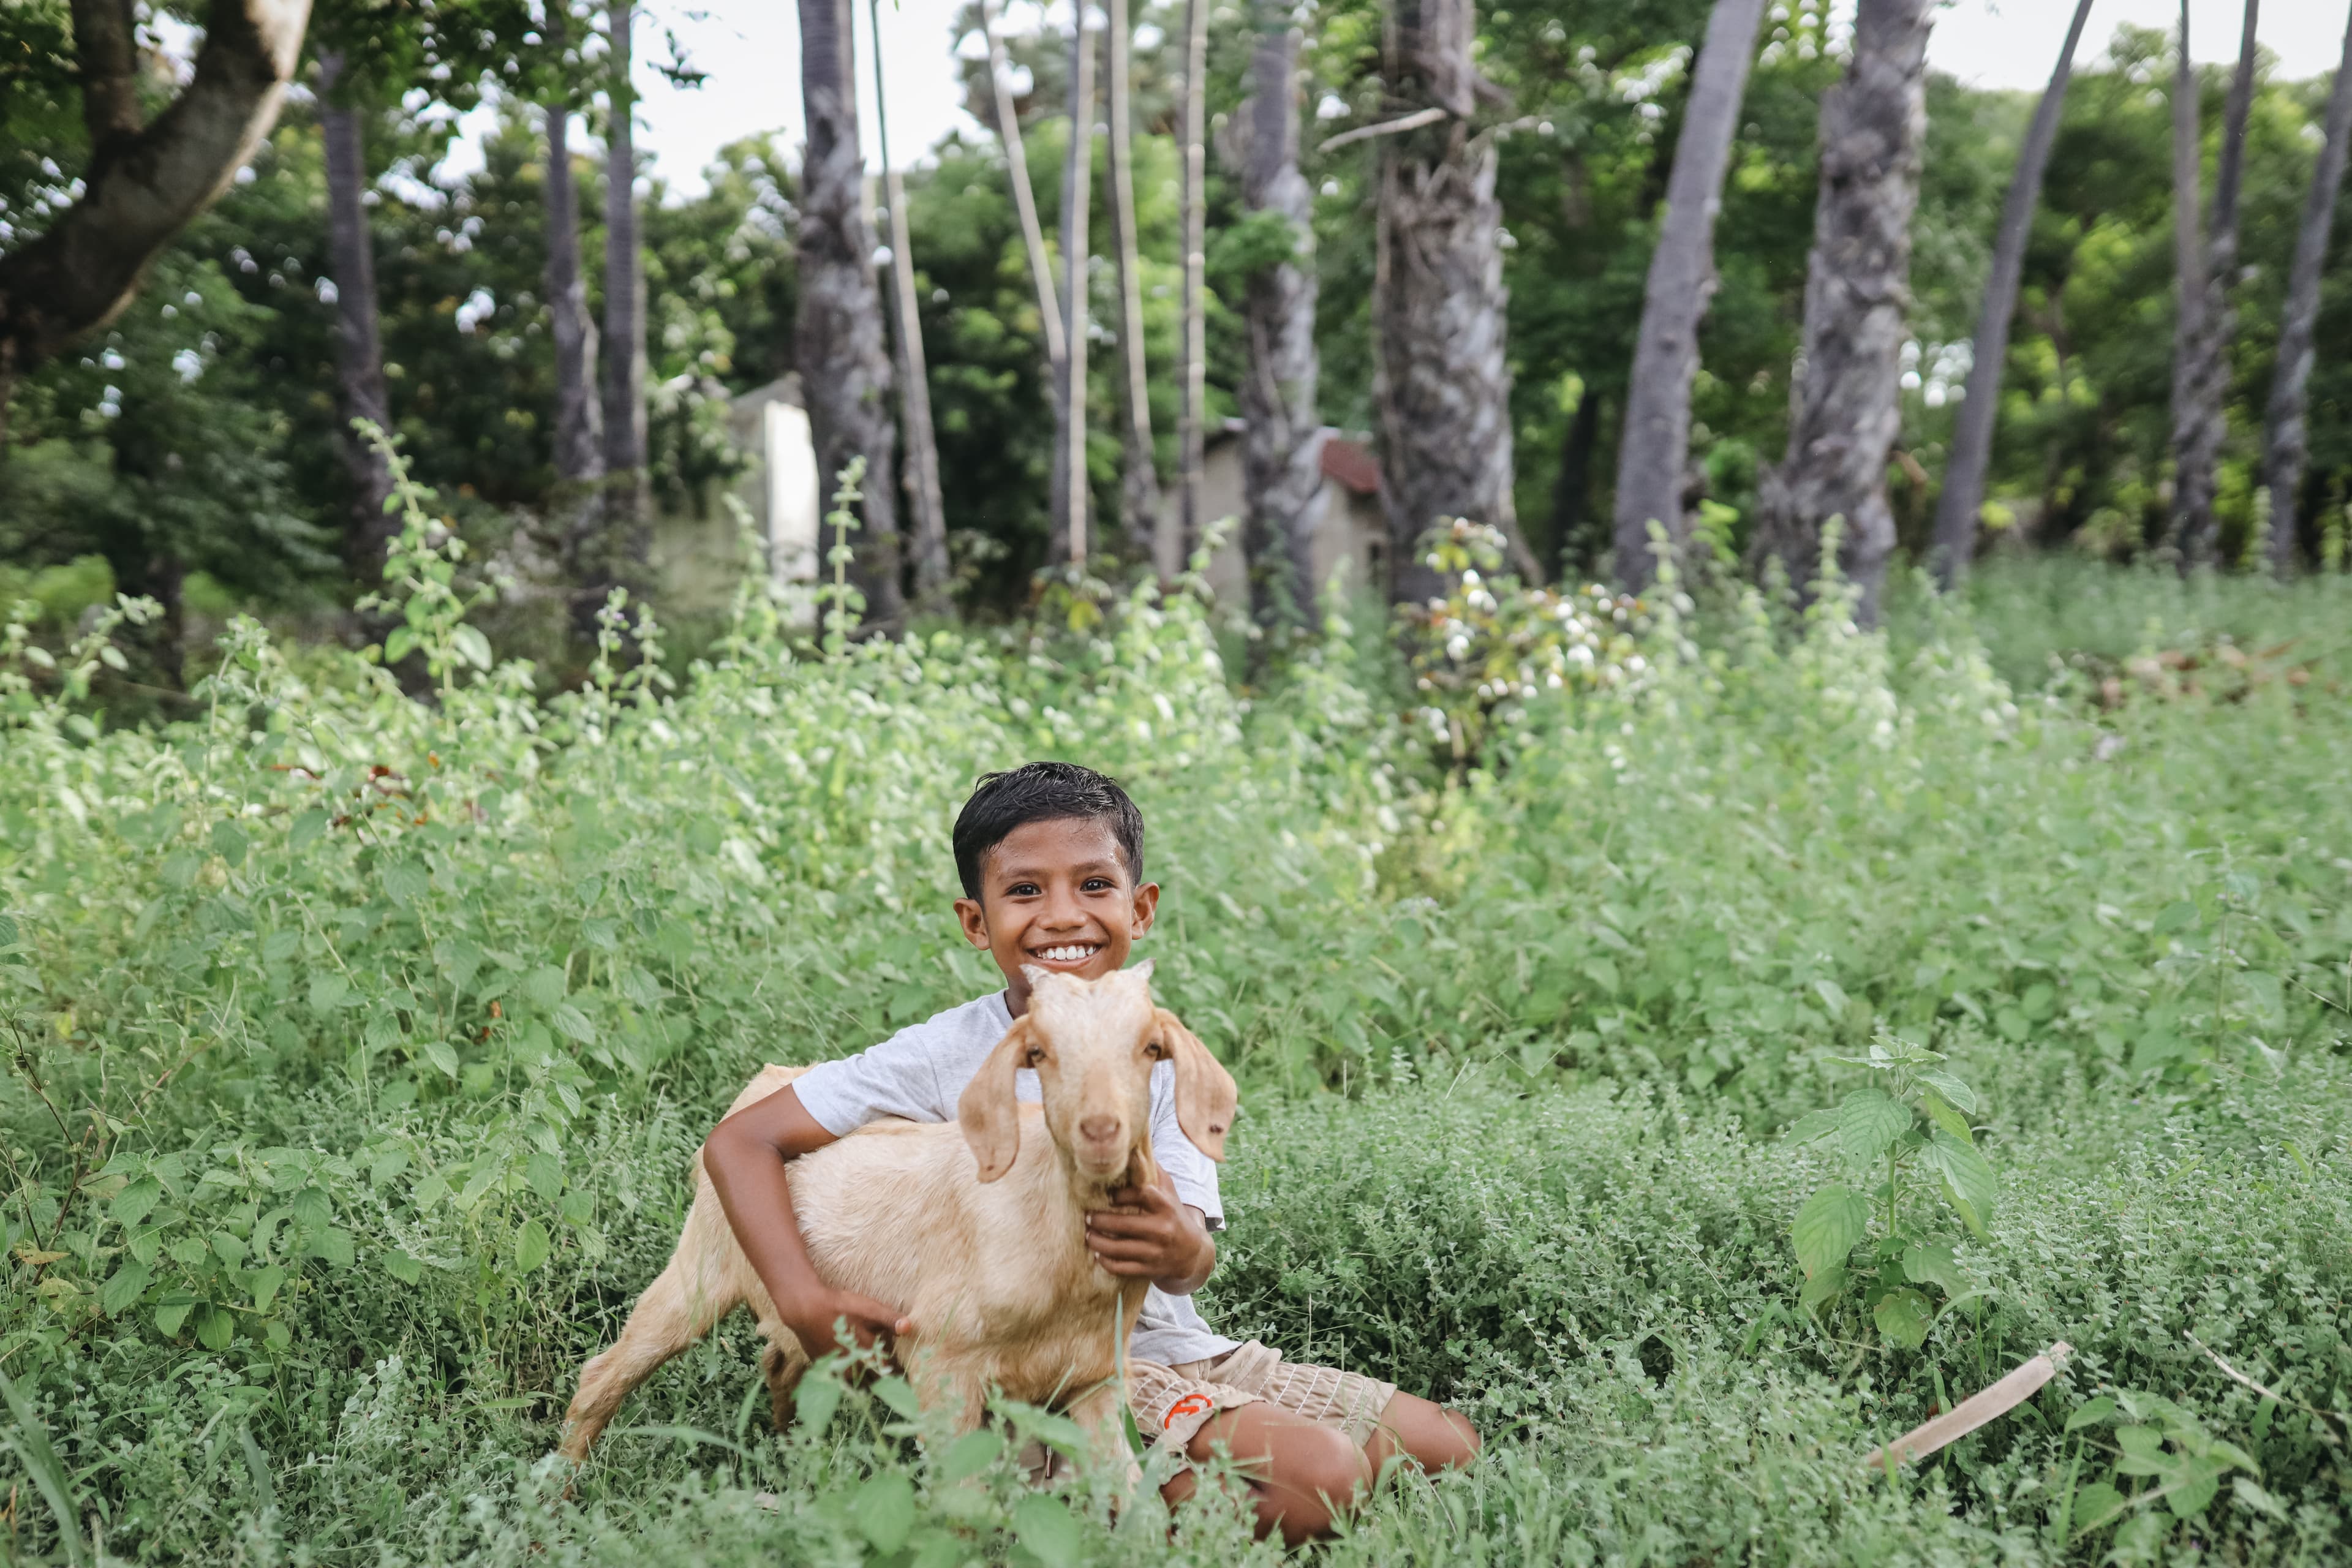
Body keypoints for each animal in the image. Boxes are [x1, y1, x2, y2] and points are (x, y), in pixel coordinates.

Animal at [555, 961, 1238, 1471]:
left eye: (1151, 1048)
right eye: (1039, 1053)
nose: (1100, 1130)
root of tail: (770, 1077)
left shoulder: (1094, 1380)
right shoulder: (941, 1360)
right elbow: (960, 1505)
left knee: (780, 1360)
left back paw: (789, 1453)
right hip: (703, 1261)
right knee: (605, 1371)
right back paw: (558, 1492)